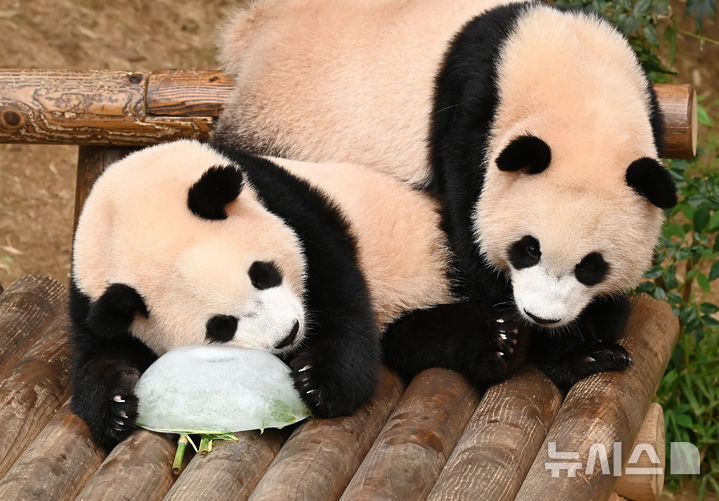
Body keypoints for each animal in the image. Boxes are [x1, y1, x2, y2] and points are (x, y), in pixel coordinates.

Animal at [71, 138, 524, 450]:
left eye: (262, 273)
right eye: (221, 327)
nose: (288, 334)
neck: (131, 199)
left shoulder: (289, 205)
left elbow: (339, 298)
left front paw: (320, 383)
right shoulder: (95, 295)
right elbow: (99, 354)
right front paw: (116, 408)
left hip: (441, 243)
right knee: (419, 335)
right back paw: (494, 338)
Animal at [217, 0, 676, 388]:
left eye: (591, 267)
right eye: (528, 249)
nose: (540, 316)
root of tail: (253, 28)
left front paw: (587, 341)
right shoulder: (471, 116)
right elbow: (472, 241)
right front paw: (563, 351)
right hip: (282, 123)